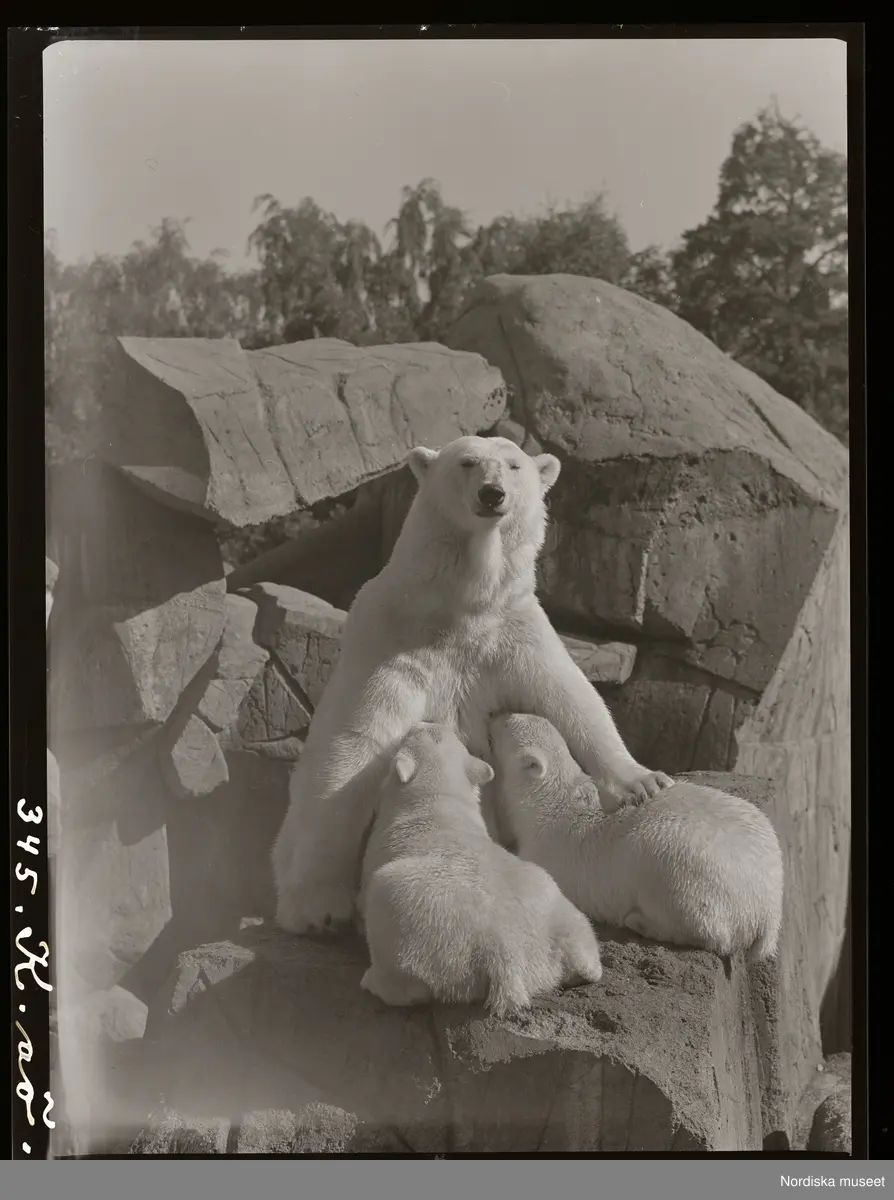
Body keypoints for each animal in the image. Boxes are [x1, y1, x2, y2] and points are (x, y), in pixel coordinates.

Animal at [272, 434, 672, 934]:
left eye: (514, 465)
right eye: (467, 463)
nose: (492, 494)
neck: (461, 607)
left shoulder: (514, 633)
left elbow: (571, 698)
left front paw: (644, 782)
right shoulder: (393, 639)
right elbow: (354, 744)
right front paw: (317, 908)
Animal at [359, 721, 603, 1014]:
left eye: (412, 735)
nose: (423, 722)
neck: (438, 799)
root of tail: (504, 952)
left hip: (419, 922)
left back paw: (374, 981)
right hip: (552, 897)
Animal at [489, 713, 784, 961]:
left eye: (508, 723)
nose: (494, 715)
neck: (551, 803)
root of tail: (769, 911)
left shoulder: (544, 852)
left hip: (681, 872)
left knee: (702, 924)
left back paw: (640, 922)